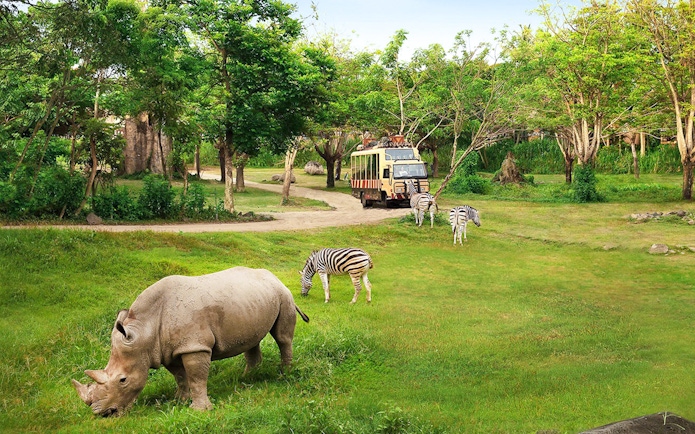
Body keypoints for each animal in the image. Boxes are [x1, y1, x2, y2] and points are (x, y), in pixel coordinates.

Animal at [72, 266, 309, 416]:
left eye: (123, 380)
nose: (102, 413)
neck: (145, 328)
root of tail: (274, 277)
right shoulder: (168, 349)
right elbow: (180, 376)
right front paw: (179, 400)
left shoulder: (195, 346)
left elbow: (196, 377)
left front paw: (200, 410)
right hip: (254, 299)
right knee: (252, 340)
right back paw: (247, 378)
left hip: (284, 295)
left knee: (282, 338)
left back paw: (284, 374)